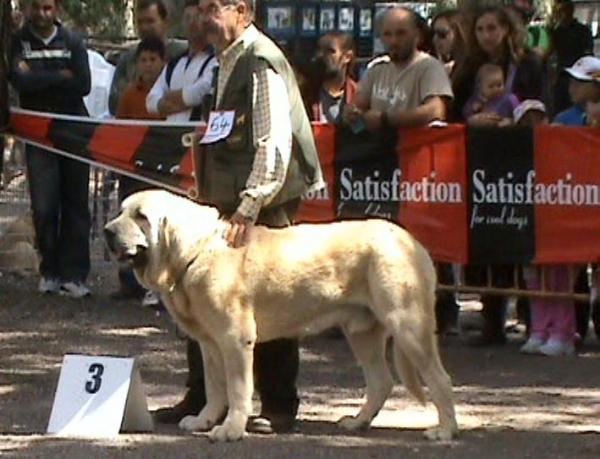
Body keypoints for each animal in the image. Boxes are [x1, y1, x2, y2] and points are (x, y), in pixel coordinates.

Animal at [105, 190, 458, 442]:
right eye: (121, 211)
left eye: (141, 216)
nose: (107, 231)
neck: (195, 253)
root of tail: (411, 240)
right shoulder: (210, 344)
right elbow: (216, 388)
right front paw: (204, 420)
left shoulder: (235, 341)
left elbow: (237, 389)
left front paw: (230, 430)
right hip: (361, 332)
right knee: (381, 382)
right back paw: (358, 422)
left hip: (408, 325)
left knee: (440, 379)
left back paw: (445, 430)